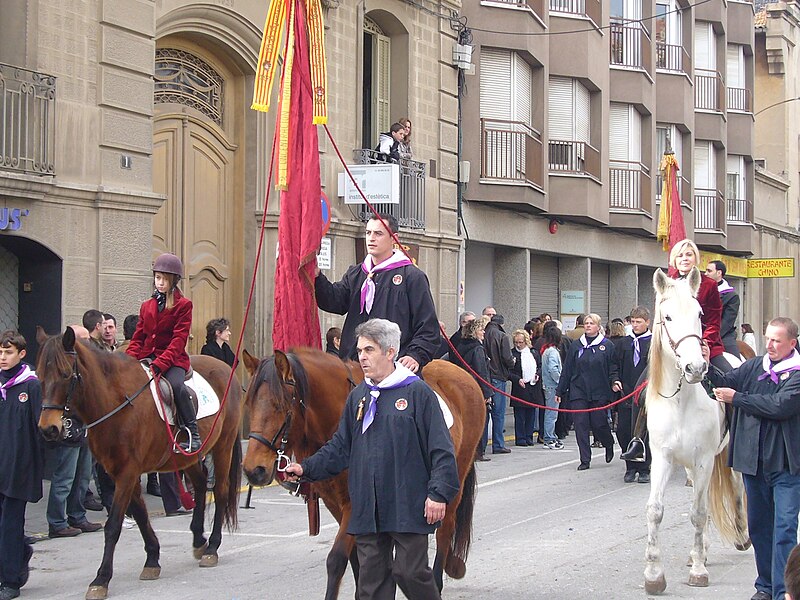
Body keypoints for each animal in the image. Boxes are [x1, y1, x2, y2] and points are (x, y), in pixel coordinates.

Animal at [36, 328, 244, 600]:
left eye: (64, 374)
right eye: (39, 375)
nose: (48, 429)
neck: (116, 401)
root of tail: (224, 368)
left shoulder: (127, 472)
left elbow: (113, 525)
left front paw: (101, 579)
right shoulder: (121, 472)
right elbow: (141, 515)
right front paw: (152, 560)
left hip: (223, 446)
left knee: (219, 491)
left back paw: (212, 548)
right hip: (186, 456)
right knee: (200, 484)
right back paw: (200, 540)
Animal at [241, 346, 484, 600]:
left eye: (280, 406)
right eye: (249, 404)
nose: (253, 470)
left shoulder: (355, 504)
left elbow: (337, 559)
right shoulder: (336, 504)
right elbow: (357, 558)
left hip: (454, 480)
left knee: (445, 529)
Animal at [644, 268, 752, 596]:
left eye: (700, 314)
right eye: (666, 317)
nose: (695, 367)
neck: (682, 400)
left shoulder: (704, 459)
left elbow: (699, 513)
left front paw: (699, 571)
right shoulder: (662, 458)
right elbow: (655, 510)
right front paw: (654, 575)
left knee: (735, 484)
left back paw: (740, 536)